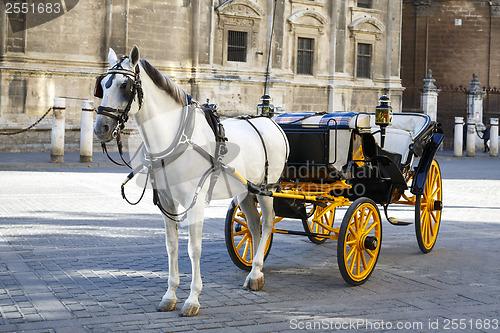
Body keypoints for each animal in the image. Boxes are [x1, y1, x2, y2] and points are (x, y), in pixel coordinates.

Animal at [94, 45, 290, 316]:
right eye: (102, 85)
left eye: (125, 85)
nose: (100, 128)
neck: (175, 139)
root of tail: (270, 122)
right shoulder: (166, 202)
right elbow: (172, 246)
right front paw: (170, 295)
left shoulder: (194, 203)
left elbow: (193, 249)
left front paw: (193, 299)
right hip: (244, 191)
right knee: (254, 226)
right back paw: (255, 271)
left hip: (265, 189)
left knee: (268, 222)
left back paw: (256, 272)